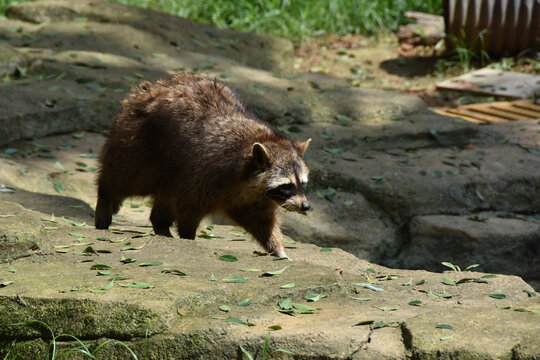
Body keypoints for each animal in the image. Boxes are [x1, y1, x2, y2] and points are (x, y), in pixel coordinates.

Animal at [95, 74, 310, 258]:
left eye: (303, 184)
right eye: (286, 186)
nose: (305, 206)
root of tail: (152, 87)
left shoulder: (253, 197)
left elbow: (262, 221)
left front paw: (278, 249)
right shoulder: (205, 173)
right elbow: (188, 211)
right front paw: (188, 237)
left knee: (165, 194)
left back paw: (161, 225)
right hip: (139, 143)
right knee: (124, 177)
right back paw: (106, 198)